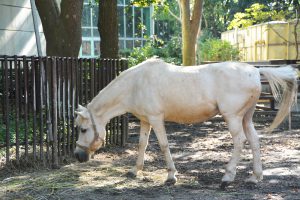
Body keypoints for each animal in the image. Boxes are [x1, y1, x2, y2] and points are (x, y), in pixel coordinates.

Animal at [74, 58, 298, 187]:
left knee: (239, 142)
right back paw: (255, 177)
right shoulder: (145, 121)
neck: (135, 84)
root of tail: (255, 71)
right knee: (254, 141)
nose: (77, 156)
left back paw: (227, 177)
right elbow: (142, 145)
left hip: (233, 117)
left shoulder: (156, 119)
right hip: (246, 117)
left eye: (84, 129)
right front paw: (135, 171)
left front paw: (171, 176)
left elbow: (163, 145)